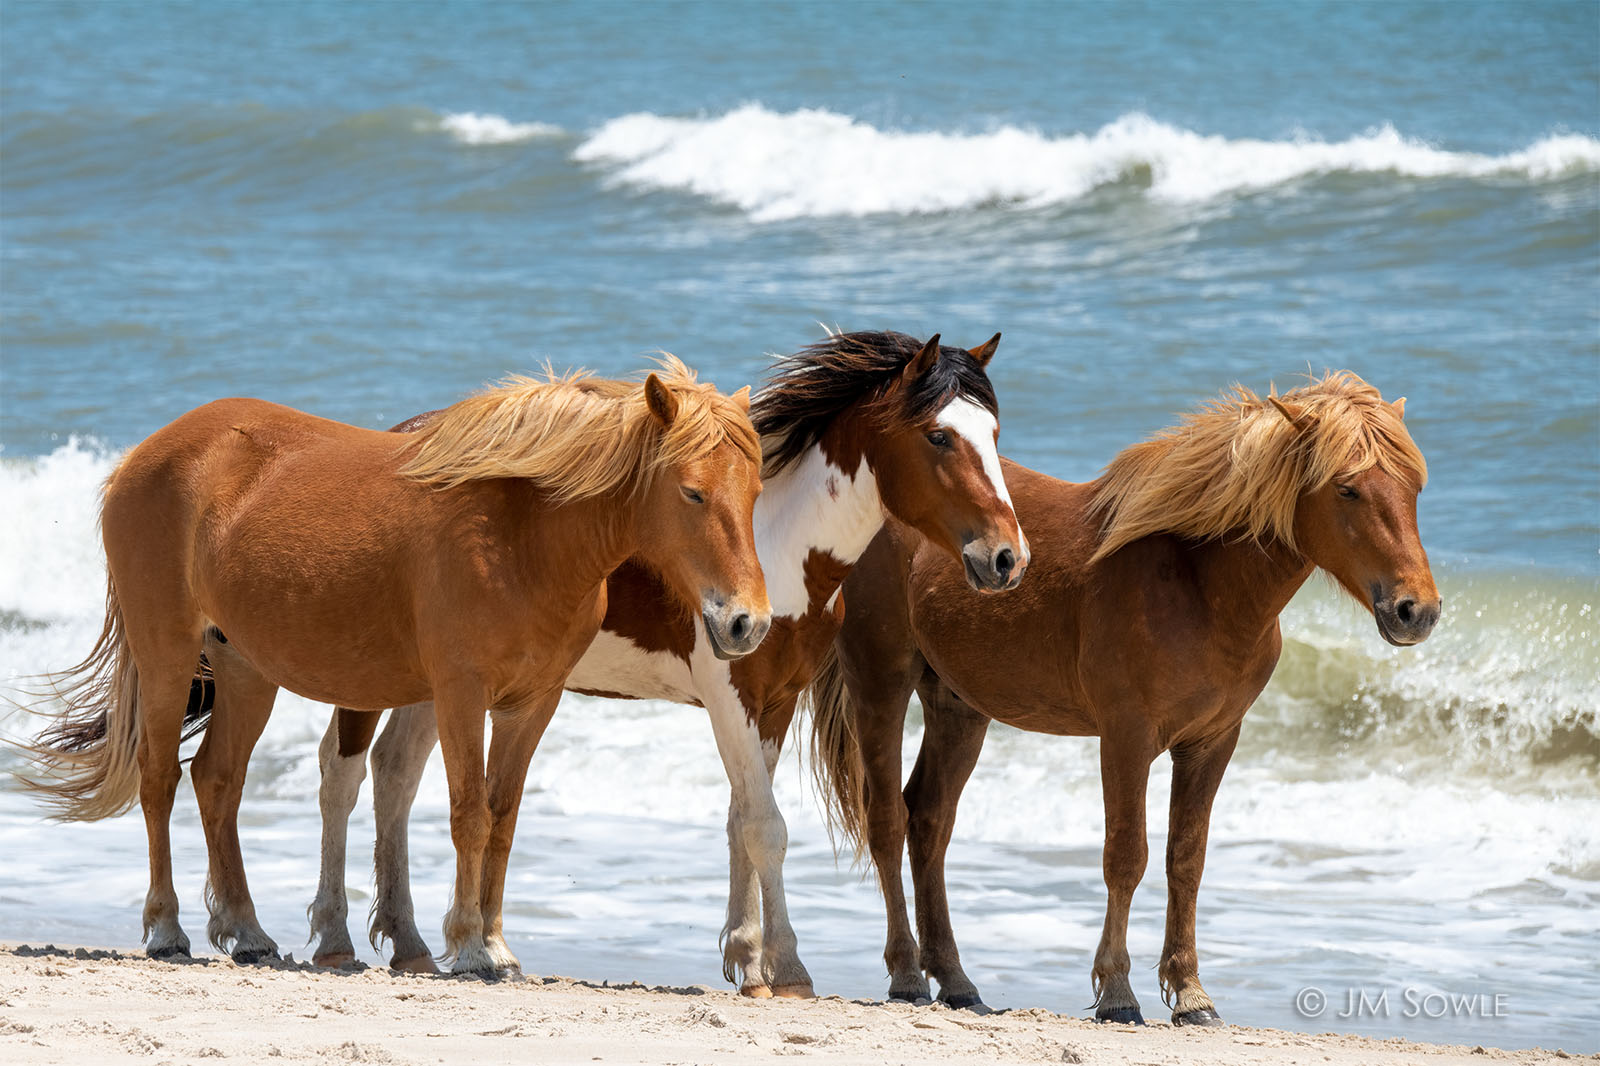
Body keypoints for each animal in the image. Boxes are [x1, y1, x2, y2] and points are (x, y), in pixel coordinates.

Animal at [20, 359, 770, 976]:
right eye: (693, 493)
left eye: (757, 493)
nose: (748, 623)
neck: (520, 535)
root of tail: (143, 456)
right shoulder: (461, 693)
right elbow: (468, 814)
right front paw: (469, 947)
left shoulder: (534, 702)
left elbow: (503, 818)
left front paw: (496, 942)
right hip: (169, 653)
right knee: (159, 781)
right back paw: (167, 931)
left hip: (245, 670)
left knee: (217, 781)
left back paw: (249, 933)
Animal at [302, 330, 1029, 995]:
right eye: (939, 437)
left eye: (993, 432)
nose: (1007, 558)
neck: (781, 550)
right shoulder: (729, 694)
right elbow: (765, 826)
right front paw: (788, 968)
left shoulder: (777, 701)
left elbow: (741, 821)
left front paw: (748, 958)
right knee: (343, 773)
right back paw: (337, 939)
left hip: (438, 682)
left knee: (396, 772)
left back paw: (410, 943)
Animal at [807, 371, 1440, 1024]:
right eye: (1347, 489)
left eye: (1415, 486)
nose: (1416, 611)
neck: (1198, 586)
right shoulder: (1127, 738)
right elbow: (1126, 857)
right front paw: (1117, 992)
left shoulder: (1213, 741)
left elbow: (1186, 859)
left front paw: (1191, 993)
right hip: (881, 682)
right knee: (886, 818)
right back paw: (907, 974)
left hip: (958, 707)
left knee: (929, 820)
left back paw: (956, 982)